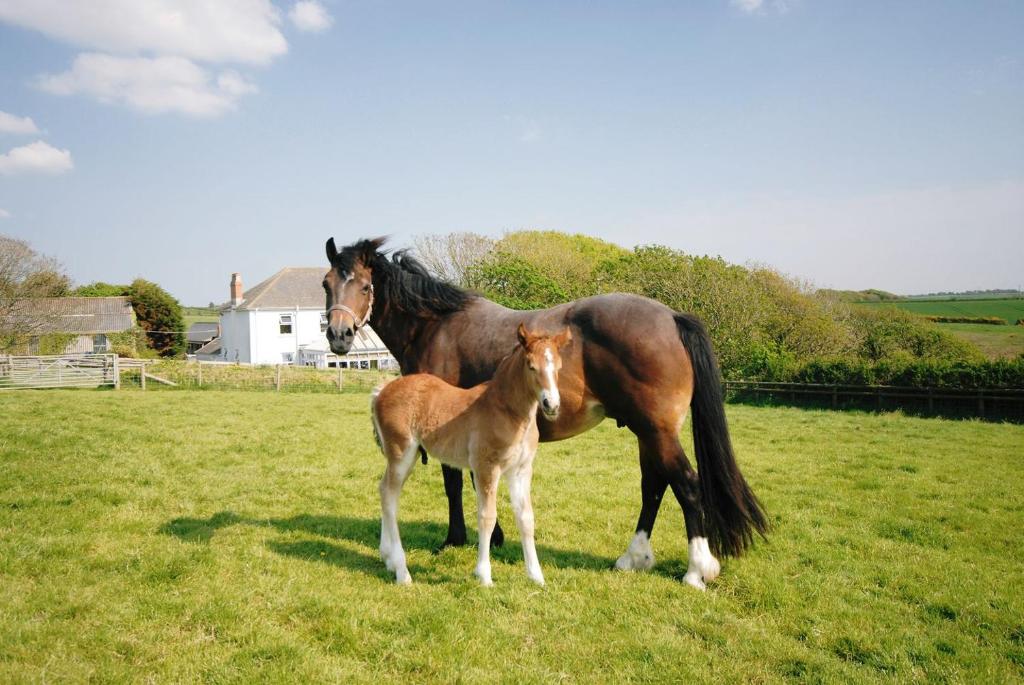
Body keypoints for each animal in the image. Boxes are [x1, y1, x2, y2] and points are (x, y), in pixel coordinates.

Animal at [372, 323, 573, 585]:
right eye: (531, 366)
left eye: (558, 367)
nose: (551, 405)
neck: (507, 410)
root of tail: (381, 391)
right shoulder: (486, 468)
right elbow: (487, 517)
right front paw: (484, 575)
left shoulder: (520, 470)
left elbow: (526, 518)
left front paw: (536, 576)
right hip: (401, 454)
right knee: (389, 495)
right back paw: (402, 571)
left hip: (408, 455)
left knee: (385, 493)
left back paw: (387, 559)